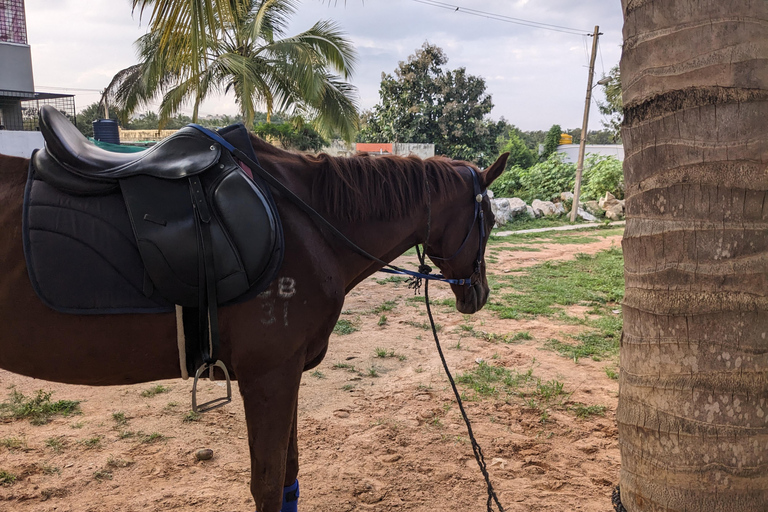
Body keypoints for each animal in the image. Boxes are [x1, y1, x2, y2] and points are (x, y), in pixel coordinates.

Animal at [0, 129, 508, 512]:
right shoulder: (269, 376)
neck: (308, 224)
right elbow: (267, 487)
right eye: (490, 219)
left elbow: (289, 477)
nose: (479, 293)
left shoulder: (288, 374)